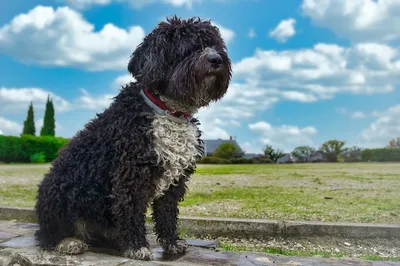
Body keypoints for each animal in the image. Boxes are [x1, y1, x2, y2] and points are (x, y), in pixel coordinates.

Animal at [36, 15, 233, 260]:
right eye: (187, 48)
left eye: (215, 45)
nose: (216, 59)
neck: (168, 111)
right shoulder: (131, 175)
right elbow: (131, 212)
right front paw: (137, 245)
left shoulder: (174, 181)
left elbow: (167, 213)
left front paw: (171, 243)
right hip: (58, 191)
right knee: (47, 235)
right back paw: (69, 242)